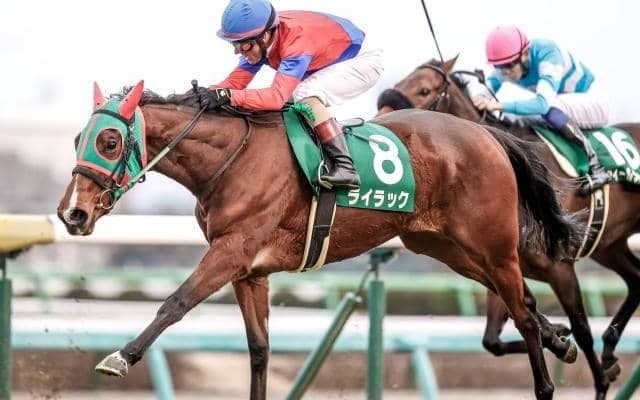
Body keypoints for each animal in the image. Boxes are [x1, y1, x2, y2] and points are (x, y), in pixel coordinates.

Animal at [56, 80, 585, 400]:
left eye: (108, 141)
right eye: (78, 138)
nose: (72, 214)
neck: (233, 160)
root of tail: (487, 135)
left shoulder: (230, 251)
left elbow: (175, 303)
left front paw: (120, 358)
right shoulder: (250, 270)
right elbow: (259, 348)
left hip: (492, 246)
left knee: (522, 312)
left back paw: (546, 381)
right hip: (448, 247)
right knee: (525, 303)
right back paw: (562, 341)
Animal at [377, 55, 640, 399]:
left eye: (424, 89)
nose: (381, 121)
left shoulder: (558, 267)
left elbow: (582, 329)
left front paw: (601, 382)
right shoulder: (502, 263)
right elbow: (493, 340)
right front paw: (559, 337)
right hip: (609, 246)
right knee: (637, 279)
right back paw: (609, 350)